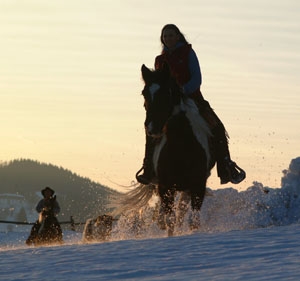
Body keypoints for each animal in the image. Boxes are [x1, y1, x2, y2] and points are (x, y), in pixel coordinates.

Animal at [112, 64, 216, 234]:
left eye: (166, 92)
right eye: (144, 93)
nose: (151, 128)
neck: (181, 147)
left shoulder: (198, 185)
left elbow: (193, 220)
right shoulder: (165, 187)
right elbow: (170, 220)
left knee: (181, 212)